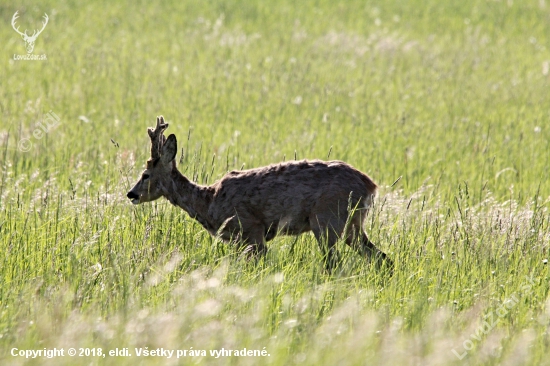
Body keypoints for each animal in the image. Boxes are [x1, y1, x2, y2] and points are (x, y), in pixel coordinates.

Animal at [127, 116, 394, 274]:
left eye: (145, 174)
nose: (131, 194)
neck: (209, 202)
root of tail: (371, 186)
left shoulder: (251, 228)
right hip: (351, 225)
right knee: (382, 258)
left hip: (328, 220)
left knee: (335, 264)